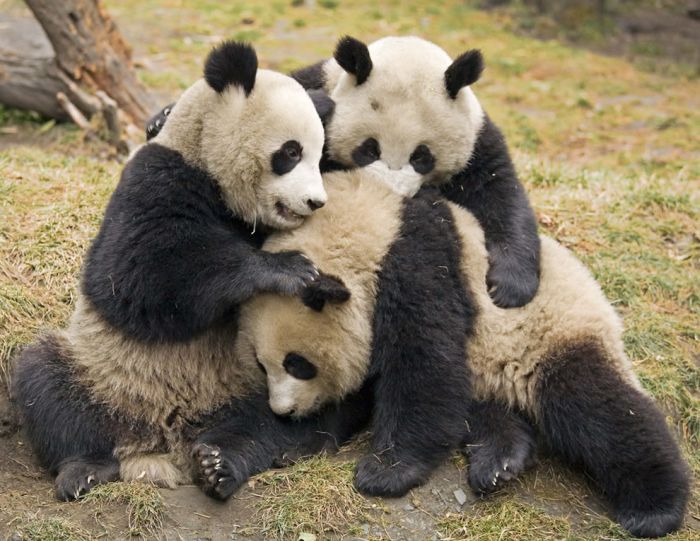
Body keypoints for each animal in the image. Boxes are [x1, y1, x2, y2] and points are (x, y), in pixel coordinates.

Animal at [12, 42, 372, 502]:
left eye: (319, 152)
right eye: (291, 153)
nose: (315, 202)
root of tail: (166, 437)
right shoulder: (158, 176)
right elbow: (134, 277)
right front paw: (289, 270)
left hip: (255, 384)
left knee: (283, 421)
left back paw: (222, 463)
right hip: (101, 372)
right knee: (46, 384)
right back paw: (85, 468)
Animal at [239, 168, 688, 536]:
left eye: (298, 365)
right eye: (262, 365)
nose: (284, 410)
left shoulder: (417, 261)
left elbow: (425, 360)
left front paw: (386, 471)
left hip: (553, 329)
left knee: (596, 404)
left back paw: (656, 507)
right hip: (487, 371)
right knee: (486, 412)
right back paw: (499, 462)